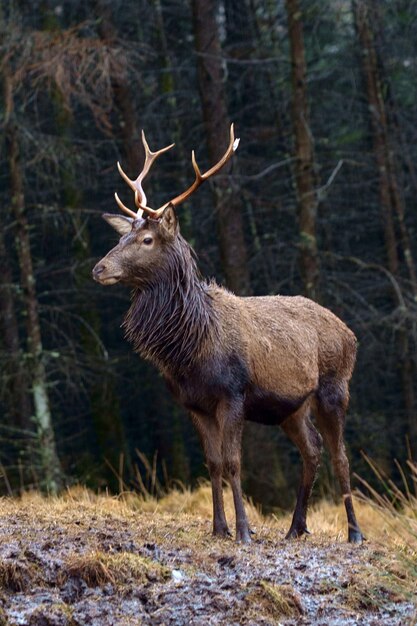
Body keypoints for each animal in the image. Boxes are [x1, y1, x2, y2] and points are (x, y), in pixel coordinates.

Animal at [92, 125, 362, 540]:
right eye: (121, 238)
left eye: (147, 240)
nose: (99, 268)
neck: (189, 347)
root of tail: (350, 333)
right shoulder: (194, 404)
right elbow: (213, 464)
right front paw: (219, 529)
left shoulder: (233, 393)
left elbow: (234, 462)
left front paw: (244, 532)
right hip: (291, 406)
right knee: (313, 449)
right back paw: (295, 527)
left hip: (335, 386)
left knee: (340, 455)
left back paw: (354, 532)